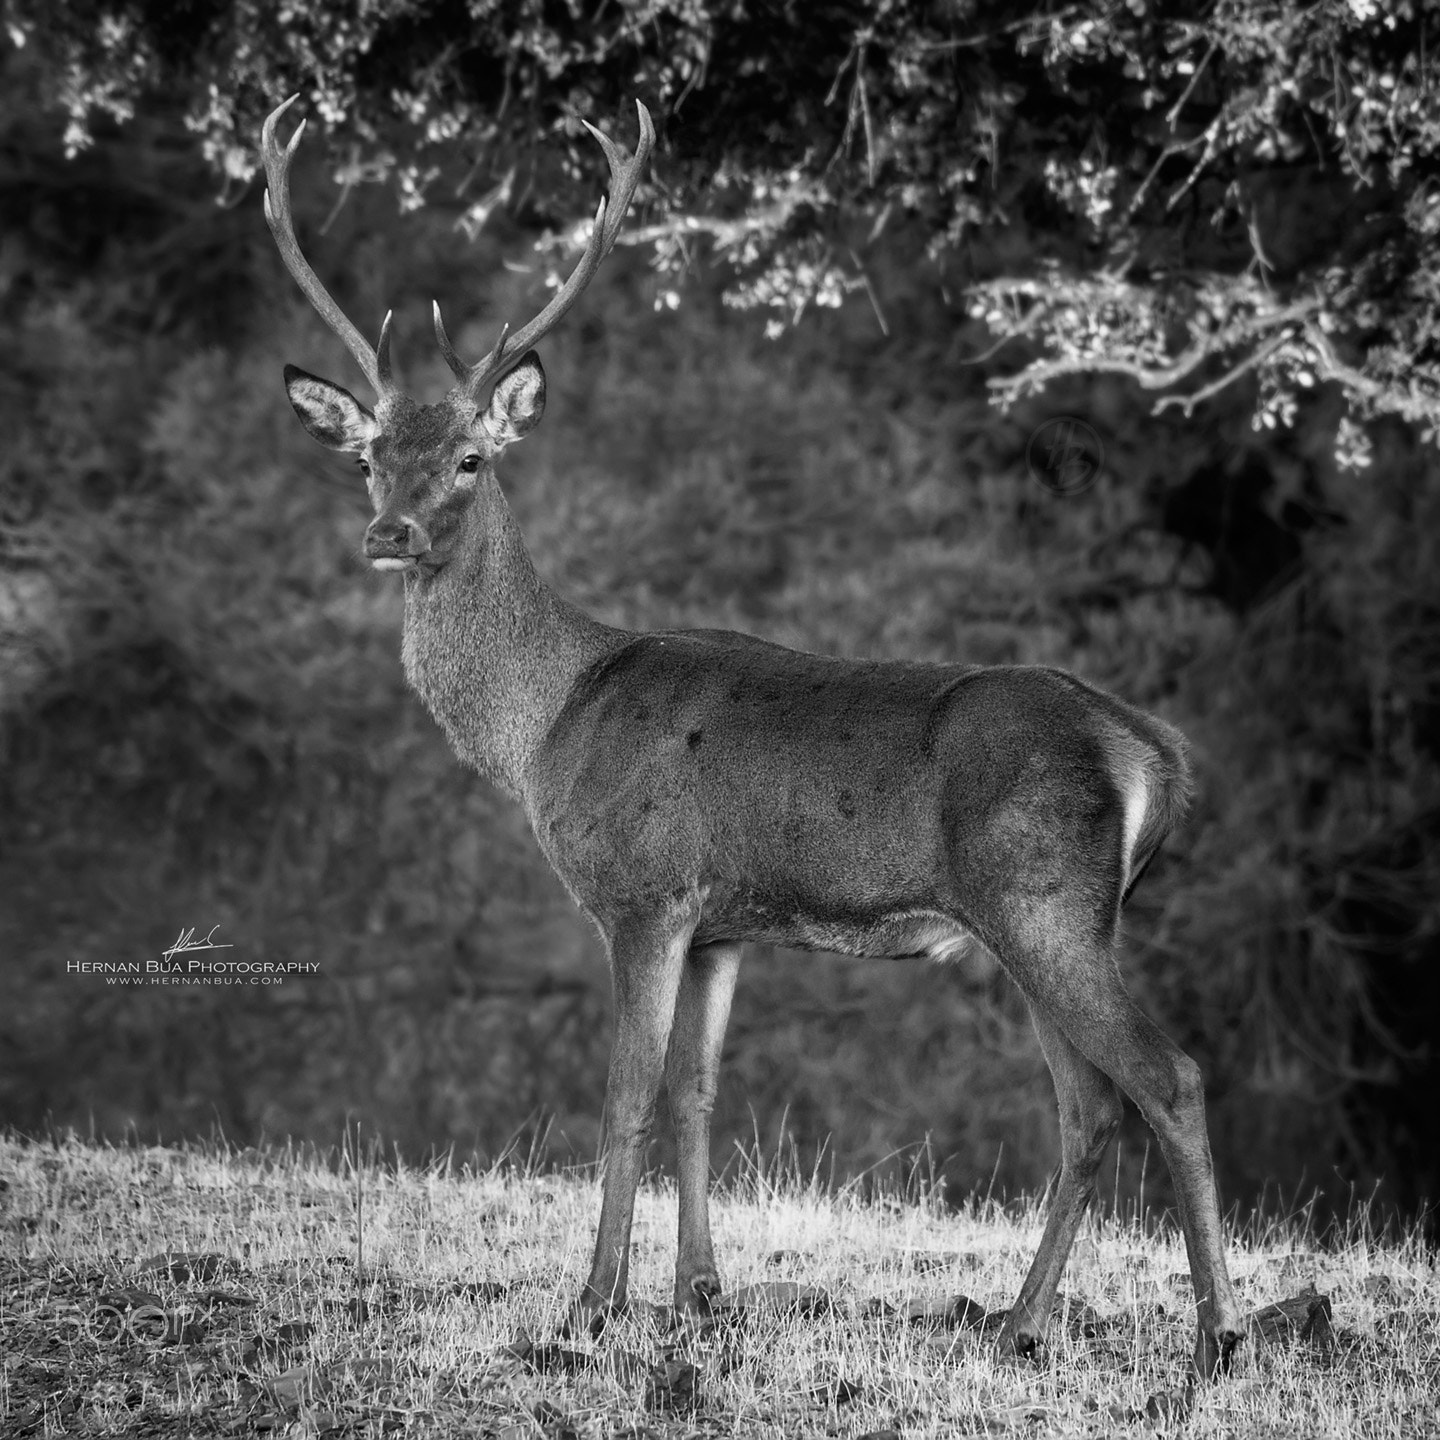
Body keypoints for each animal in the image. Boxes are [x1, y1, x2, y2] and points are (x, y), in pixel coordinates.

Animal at [261, 94, 1245, 1379]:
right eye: (368, 454)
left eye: (471, 456)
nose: (391, 532)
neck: (548, 721)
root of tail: (1154, 753)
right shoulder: (723, 925)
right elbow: (697, 1091)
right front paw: (702, 1298)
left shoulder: (642, 892)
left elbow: (627, 1090)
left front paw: (592, 1307)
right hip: (1048, 919)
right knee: (1088, 1108)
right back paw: (1021, 1323)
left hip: (1043, 900)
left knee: (1165, 1078)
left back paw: (1216, 1339)